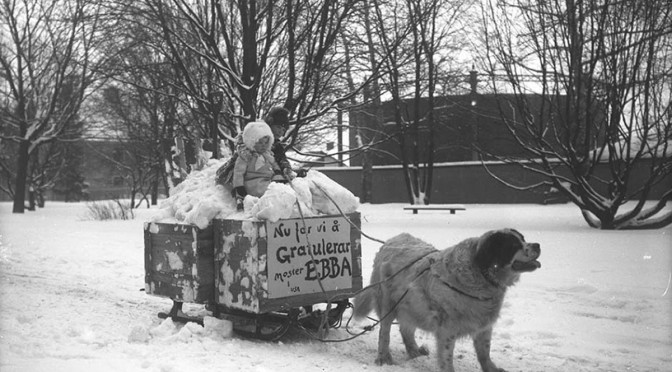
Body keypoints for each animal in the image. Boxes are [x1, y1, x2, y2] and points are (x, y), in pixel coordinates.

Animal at [354, 230, 544, 372]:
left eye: (523, 239)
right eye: (513, 245)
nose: (537, 245)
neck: (479, 274)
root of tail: (391, 241)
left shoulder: (484, 327)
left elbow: (484, 352)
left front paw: (491, 368)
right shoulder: (447, 330)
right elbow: (446, 357)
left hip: (413, 305)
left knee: (406, 328)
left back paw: (414, 352)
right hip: (388, 303)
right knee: (384, 332)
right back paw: (384, 357)